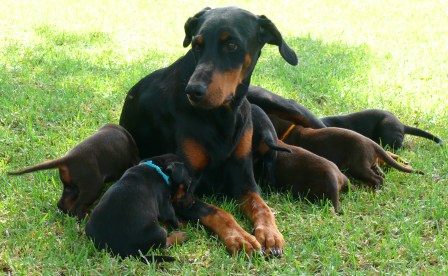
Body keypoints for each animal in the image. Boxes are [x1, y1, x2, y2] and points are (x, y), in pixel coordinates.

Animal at [7, 123, 139, 220]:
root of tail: (68, 159)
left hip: (71, 187)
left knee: (63, 204)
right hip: (93, 186)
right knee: (76, 209)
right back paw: (86, 218)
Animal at [121, 5, 306, 256]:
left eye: (232, 45)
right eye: (196, 45)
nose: (193, 90)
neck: (221, 115)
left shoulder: (244, 179)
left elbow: (261, 205)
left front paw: (270, 233)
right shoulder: (182, 193)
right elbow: (218, 212)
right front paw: (240, 237)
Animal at [270, 113, 424, 189]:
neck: (289, 128)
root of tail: (373, 144)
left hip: (358, 166)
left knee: (378, 179)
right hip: (369, 163)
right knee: (380, 174)